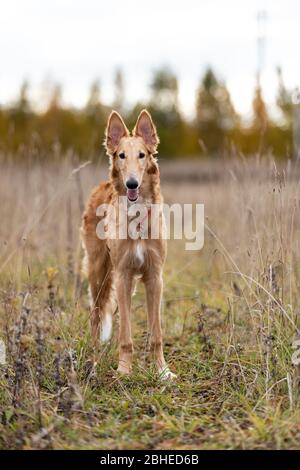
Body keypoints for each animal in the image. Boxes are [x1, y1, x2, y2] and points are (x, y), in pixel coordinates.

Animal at [82, 111, 176, 382]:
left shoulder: (154, 277)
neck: (137, 217)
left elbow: (156, 333)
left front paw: (162, 370)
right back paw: (95, 361)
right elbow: (125, 334)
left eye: (142, 155)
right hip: (99, 273)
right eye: (121, 155)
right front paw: (124, 370)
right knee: (97, 316)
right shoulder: (122, 274)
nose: (132, 184)